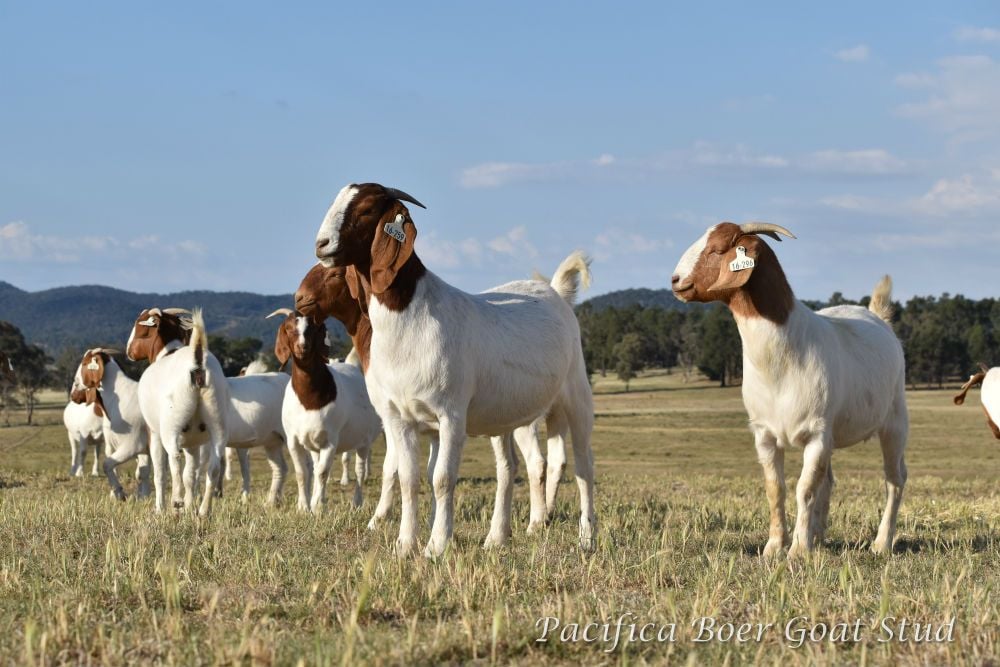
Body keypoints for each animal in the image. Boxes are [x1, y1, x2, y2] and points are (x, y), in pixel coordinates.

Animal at [74, 349, 152, 499]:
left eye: (85, 363)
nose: (73, 392)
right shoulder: (138, 448)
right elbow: (142, 473)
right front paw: (142, 497)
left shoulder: (132, 445)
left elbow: (107, 464)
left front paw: (119, 492)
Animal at [127, 308, 229, 515]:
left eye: (140, 325)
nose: (129, 351)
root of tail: (197, 361)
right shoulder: (192, 442)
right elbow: (190, 474)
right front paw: (190, 507)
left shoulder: (154, 432)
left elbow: (159, 472)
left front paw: (160, 508)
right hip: (218, 421)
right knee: (213, 466)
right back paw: (203, 511)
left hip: (170, 425)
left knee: (174, 458)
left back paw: (176, 502)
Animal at [267, 308, 381, 513]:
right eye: (288, 328)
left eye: (313, 328)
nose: (302, 347)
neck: (309, 400)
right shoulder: (294, 441)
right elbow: (302, 473)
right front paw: (304, 507)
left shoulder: (330, 441)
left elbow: (322, 473)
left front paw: (319, 507)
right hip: (314, 444)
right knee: (314, 465)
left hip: (364, 440)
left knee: (359, 470)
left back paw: (356, 502)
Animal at [313, 183, 595, 557]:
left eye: (367, 209)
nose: (322, 244)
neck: (410, 316)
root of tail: (557, 293)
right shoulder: (398, 418)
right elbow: (407, 478)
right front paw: (405, 545)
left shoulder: (451, 414)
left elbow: (442, 478)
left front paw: (436, 546)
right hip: (503, 416)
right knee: (509, 467)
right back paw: (497, 537)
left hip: (577, 395)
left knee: (584, 465)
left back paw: (587, 537)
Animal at [671, 222, 908, 558]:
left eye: (717, 249)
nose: (676, 280)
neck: (781, 360)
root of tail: (878, 317)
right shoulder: (764, 434)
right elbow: (777, 489)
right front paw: (775, 546)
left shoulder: (817, 434)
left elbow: (804, 489)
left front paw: (798, 549)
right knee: (830, 480)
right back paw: (819, 536)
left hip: (895, 421)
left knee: (894, 479)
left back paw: (881, 542)